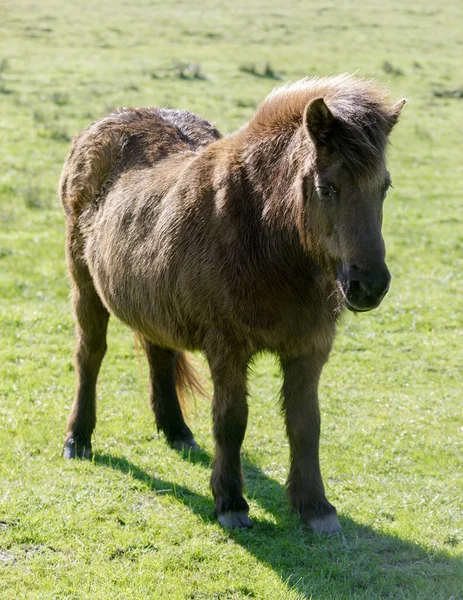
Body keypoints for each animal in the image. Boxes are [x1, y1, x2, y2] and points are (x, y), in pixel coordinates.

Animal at [59, 74, 406, 536]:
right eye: (326, 188)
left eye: (383, 188)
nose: (369, 286)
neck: (263, 233)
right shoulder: (227, 348)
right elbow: (231, 421)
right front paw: (230, 502)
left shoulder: (309, 349)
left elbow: (306, 424)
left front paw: (315, 507)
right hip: (85, 285)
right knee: (90, 356)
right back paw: (78, 438)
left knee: (157, 351)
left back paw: (176, 430)